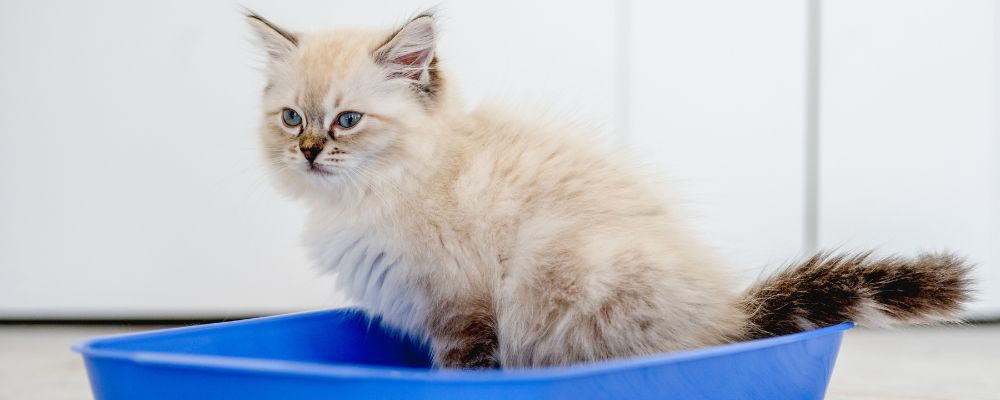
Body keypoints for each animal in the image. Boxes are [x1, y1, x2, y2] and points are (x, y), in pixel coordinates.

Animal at [246, 11, 972, 368]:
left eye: (347, 120)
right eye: (292, 119)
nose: (309, 152)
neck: (381, 187)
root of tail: (731, 318)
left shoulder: (464, 313)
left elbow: (462, 372)